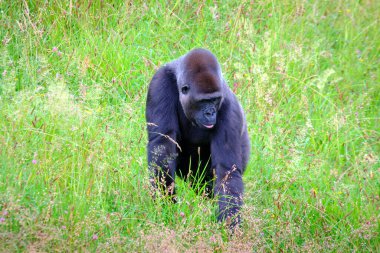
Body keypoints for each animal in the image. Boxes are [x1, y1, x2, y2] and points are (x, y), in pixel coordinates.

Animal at [145, 48, 249, 226]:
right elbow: (162, 146)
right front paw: (165, 203)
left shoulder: (228, 108)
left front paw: (229, 224)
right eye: (203, 101)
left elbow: (227, 172)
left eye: (214, 100)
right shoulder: (159, 83)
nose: (210, 113)